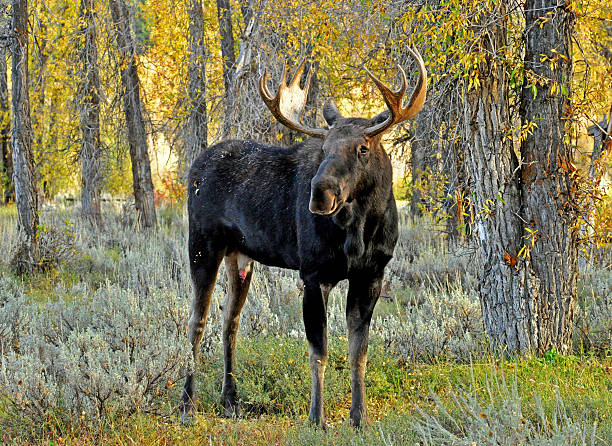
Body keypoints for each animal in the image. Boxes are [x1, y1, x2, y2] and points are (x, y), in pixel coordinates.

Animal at [180, 47, 426, 426]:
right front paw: (316, 418)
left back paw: (231, 400)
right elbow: (319, 352)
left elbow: (358, 351)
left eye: (363, 148)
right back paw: (188, 404)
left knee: (229, 321)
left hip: (240, 256)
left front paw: (359, 417)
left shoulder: (371, 274)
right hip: (203, 245)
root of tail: (195, 165)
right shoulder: (313, 274)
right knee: (196, 321)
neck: (358, 232)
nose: (320, 193)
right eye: (324, 149)